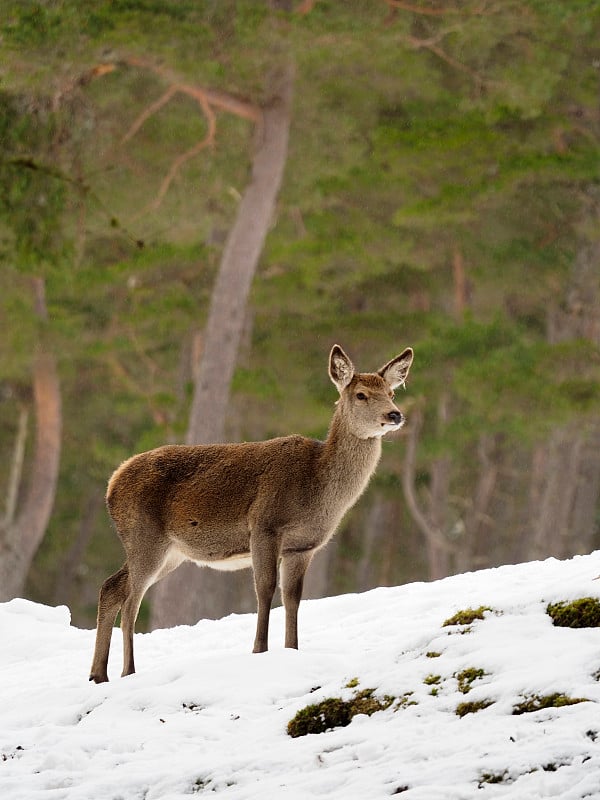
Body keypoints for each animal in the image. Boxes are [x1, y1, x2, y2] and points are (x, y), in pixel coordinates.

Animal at [89, 344, 412, 680]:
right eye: (361, 394)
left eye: (391, 392)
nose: (395, 414)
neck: (316, 486)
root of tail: (112, 484)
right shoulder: (264, 525)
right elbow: (265, 588)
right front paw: (260, 649)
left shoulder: (303, 546)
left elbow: (293, 598)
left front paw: (292, 649)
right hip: (145, 538)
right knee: (130, 603)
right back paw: (128, 671)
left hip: (170, 552)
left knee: (111, 587)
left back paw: (98, 674)